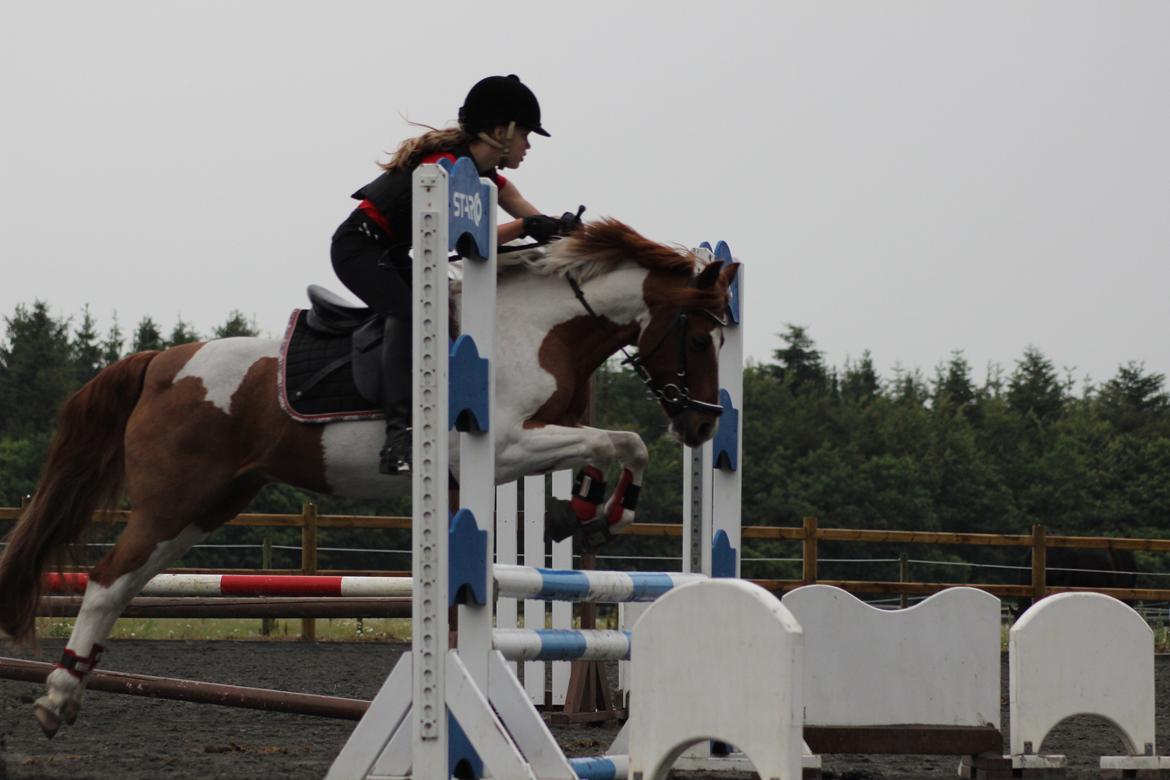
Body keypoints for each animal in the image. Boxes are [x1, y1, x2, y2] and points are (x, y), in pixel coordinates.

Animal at [0, 218, 739, 739]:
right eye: (700, 337)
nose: (702, 426)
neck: (538, 328)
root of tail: (160, 363)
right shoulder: (501, 448)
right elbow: (622, 440)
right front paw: (599, 514)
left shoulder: (537, 437)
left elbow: (607, 445)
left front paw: (584, 513)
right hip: (172, 503)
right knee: (105, 581)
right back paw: (56, 698)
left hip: (208, 506)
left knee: (124, 585)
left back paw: (71, 689)